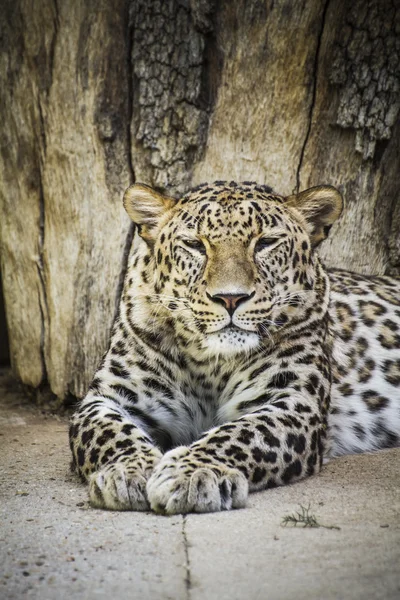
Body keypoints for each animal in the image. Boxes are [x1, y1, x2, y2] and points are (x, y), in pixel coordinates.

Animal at [69, 180, 400, 512]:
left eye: (266, 243)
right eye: (195, 244)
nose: (230, 298)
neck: (209, 362)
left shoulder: (293, 401)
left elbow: (240, 434)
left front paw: (192, 473)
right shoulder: (108, 398)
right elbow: (108, 432)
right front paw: (128, 470)